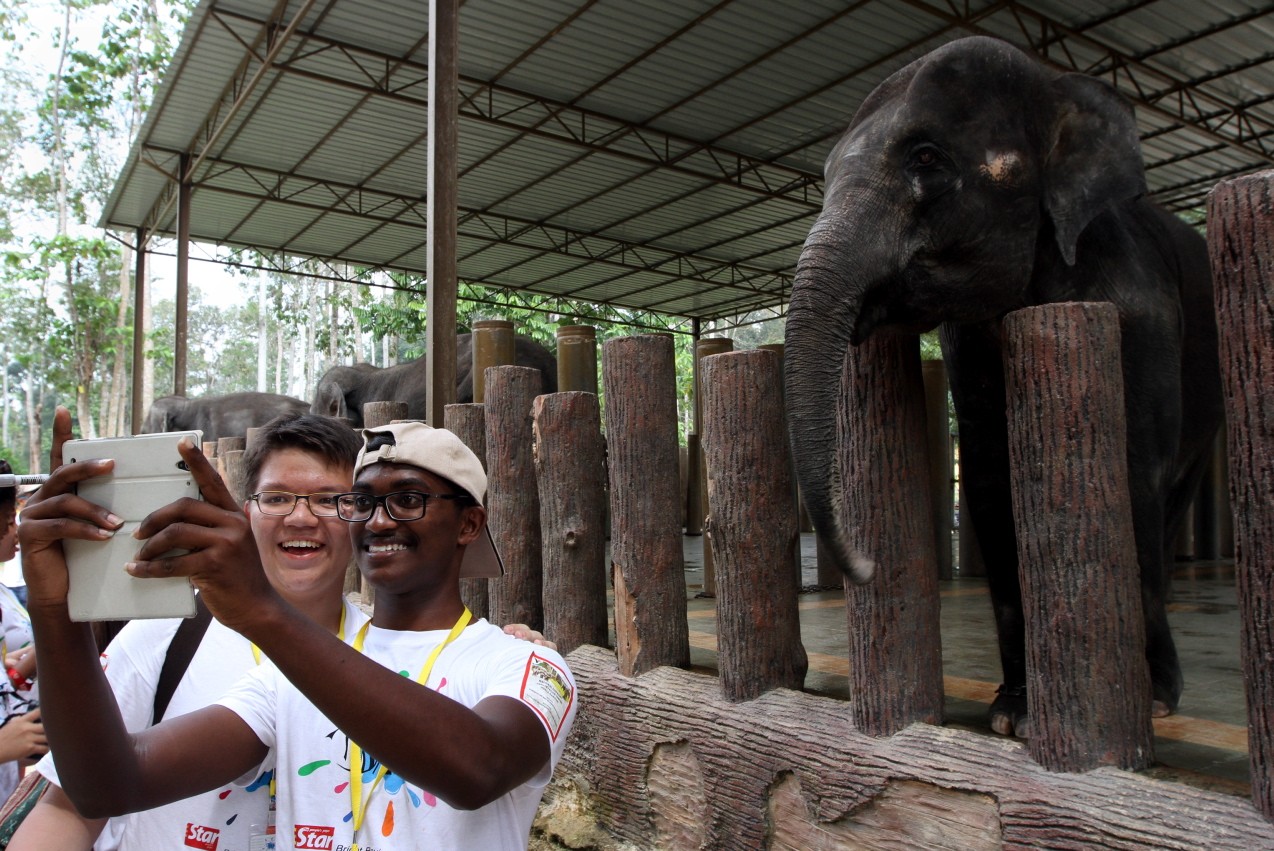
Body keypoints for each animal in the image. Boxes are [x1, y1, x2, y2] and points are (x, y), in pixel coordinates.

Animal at [784, 36, 1223, 738]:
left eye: (926, 158)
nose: (868, 568)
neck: (1055, 84)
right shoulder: (971, 341)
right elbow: (991, 475)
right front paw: (1012, 716)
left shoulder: (1140, 309)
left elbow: (1132, 467)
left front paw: (1149, 701)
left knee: (1169, 488)